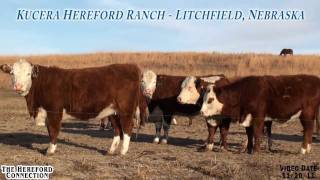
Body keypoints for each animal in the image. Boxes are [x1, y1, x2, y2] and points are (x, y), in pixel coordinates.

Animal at [0, 59, 141, 155]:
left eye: (28, 74)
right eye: (12, 73)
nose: (18, 86)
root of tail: (131, 66)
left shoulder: (54, 111)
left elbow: (53, 130)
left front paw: (50, 150)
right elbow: (50, 130)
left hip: (125, 109)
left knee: (127, 127)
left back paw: (122, 152)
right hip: (112, 111)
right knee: (117, 129)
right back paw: (110, 151)